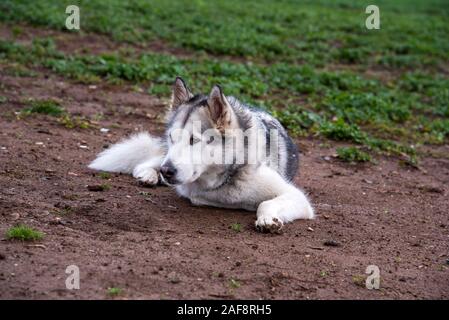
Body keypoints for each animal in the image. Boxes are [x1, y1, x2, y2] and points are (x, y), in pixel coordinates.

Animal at [86, 77, 312, 232]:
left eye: (193, 140)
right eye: (172, 137)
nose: (166, 171)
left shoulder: (297, 197)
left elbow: (265, 202)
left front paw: (267, 219)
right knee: (145, 163)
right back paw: (149, 175)